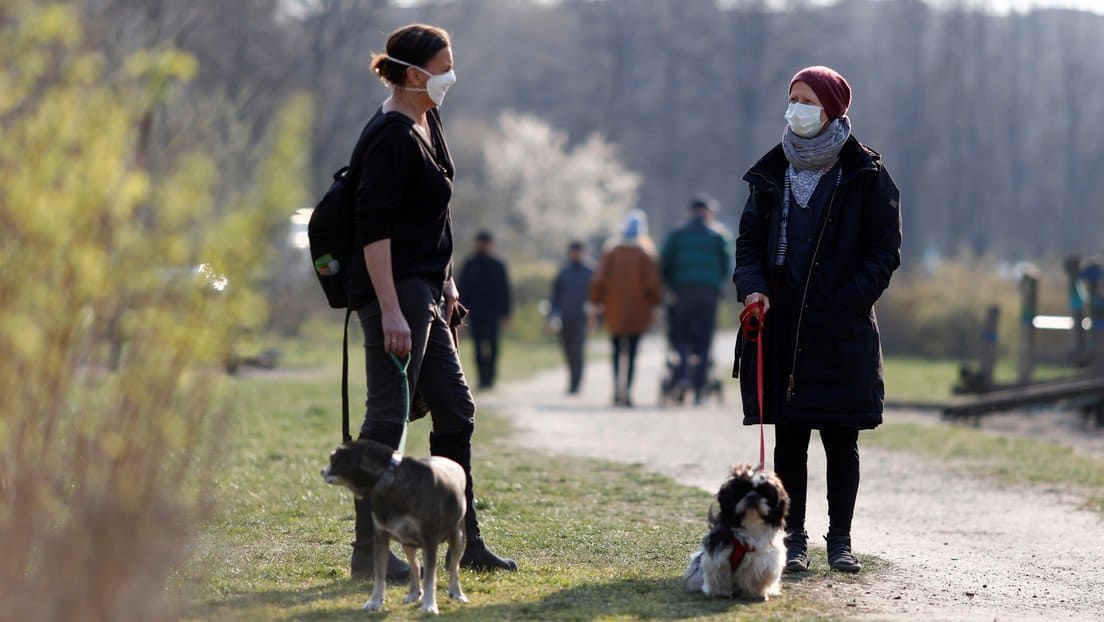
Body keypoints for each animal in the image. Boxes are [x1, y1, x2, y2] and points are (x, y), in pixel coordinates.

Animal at [322, 439, 470, 614]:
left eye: (333, 459)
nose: (321, 471)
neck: (391, 480)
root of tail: (454, 464)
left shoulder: (430, 540)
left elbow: (430, 578)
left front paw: (429, 606)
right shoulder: (381, 537)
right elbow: (380, 575)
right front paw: (374, 602)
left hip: (458, 538)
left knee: (454, 567)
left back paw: (457, 594)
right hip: (408, 543)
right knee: (415, 566)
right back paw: (413, 593)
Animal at [684, 464, 790, 601]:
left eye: (764, 492)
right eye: (742, 491)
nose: (752, 496)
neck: (751, 523)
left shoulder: (763, 558)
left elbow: (758, 577)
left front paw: (756, 593)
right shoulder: (719, 552)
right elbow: (720, 573)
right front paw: (721, 592)